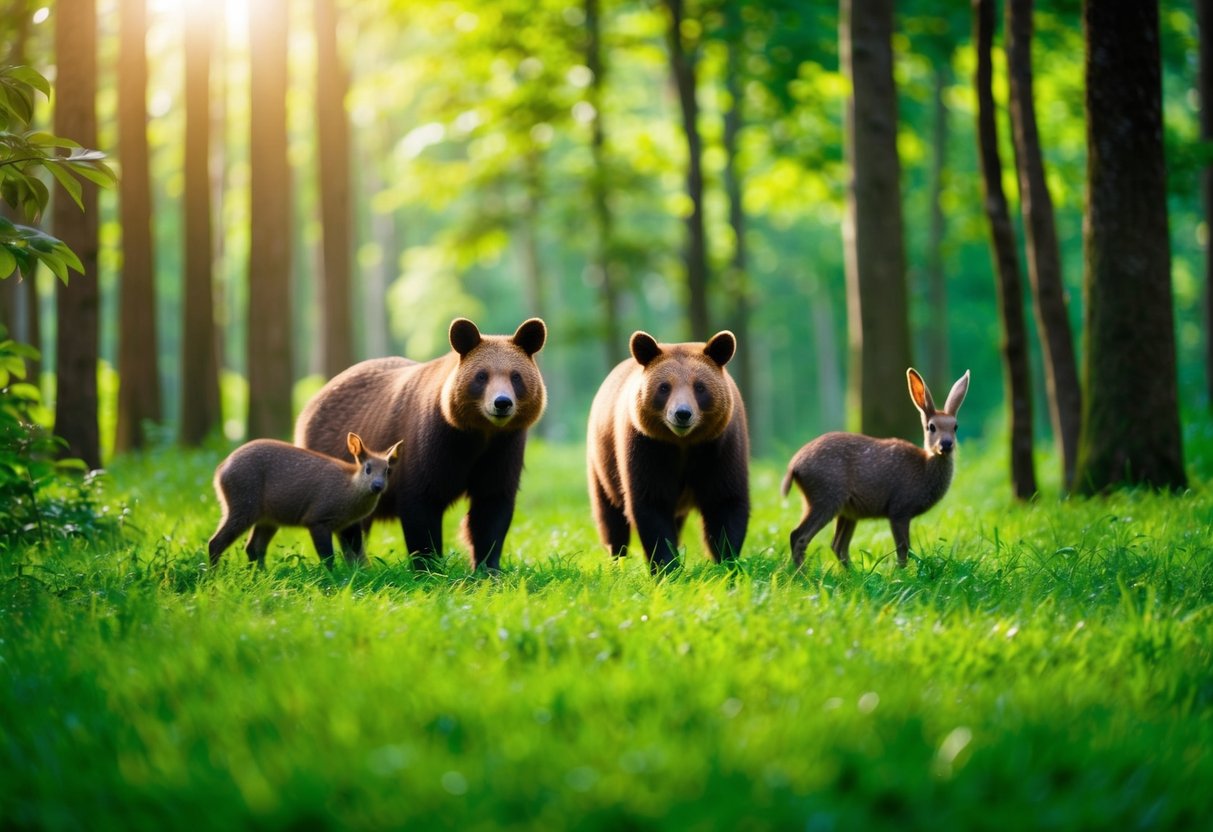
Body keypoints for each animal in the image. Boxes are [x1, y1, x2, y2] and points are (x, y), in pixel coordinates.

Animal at [293, 320, 545, 572]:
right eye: (481, 376)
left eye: (516, 376)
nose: (502, 403)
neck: (479, 434)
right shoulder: (433, 443)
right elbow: (422, 503)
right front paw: (429, 565)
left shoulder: (504, 448)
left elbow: (492, 505)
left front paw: (488, 568)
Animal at [587, 329, 747, 577]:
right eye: (664, 387)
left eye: (700, 386)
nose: (682, 413)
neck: (683, 443)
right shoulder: (647, 447)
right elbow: (652, 505)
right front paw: (667, 567)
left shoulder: (721, 445)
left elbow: (725, 501)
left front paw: (727, 564)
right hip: (602, 462)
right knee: (610, 517)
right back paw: (616, 561)